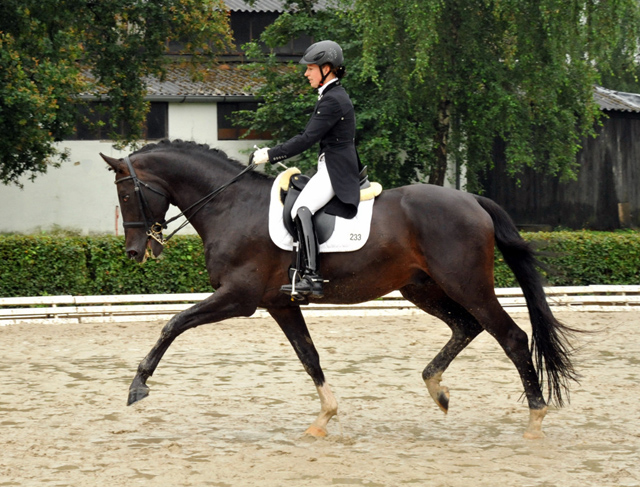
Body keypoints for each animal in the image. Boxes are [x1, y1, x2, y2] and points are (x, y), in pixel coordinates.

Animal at [100, 139, 576, 440]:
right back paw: (436, 387)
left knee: (511, 336)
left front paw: (137, 387)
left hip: (467, 283)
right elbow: (309, 356)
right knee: (466, 327)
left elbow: (174, 323)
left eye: (125, 195)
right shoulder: (280, 303)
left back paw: (535, 420)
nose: (135, 252)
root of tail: (473, 199)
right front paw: (323, 419)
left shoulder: (240, 297)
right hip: (421, 289)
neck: (230, 205)